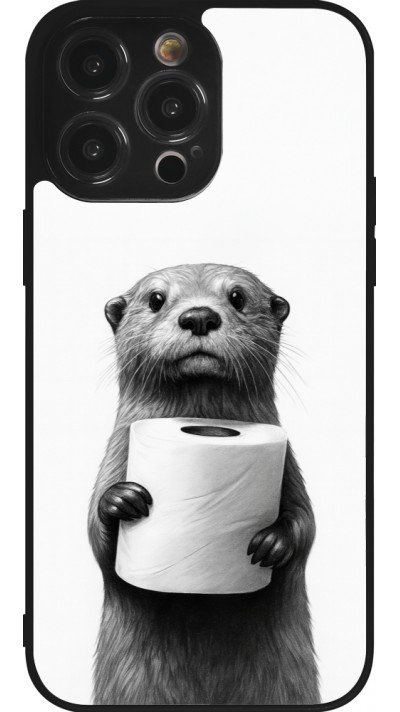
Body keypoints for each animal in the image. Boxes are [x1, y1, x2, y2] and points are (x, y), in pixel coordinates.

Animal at [88, 263, 319, 705]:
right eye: (156, 299)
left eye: (238, 297)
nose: (199, 316)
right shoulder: (114, 458)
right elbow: (96, 538)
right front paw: (121, 501)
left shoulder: (290, 468)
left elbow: (307, 524)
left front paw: (273, 542)